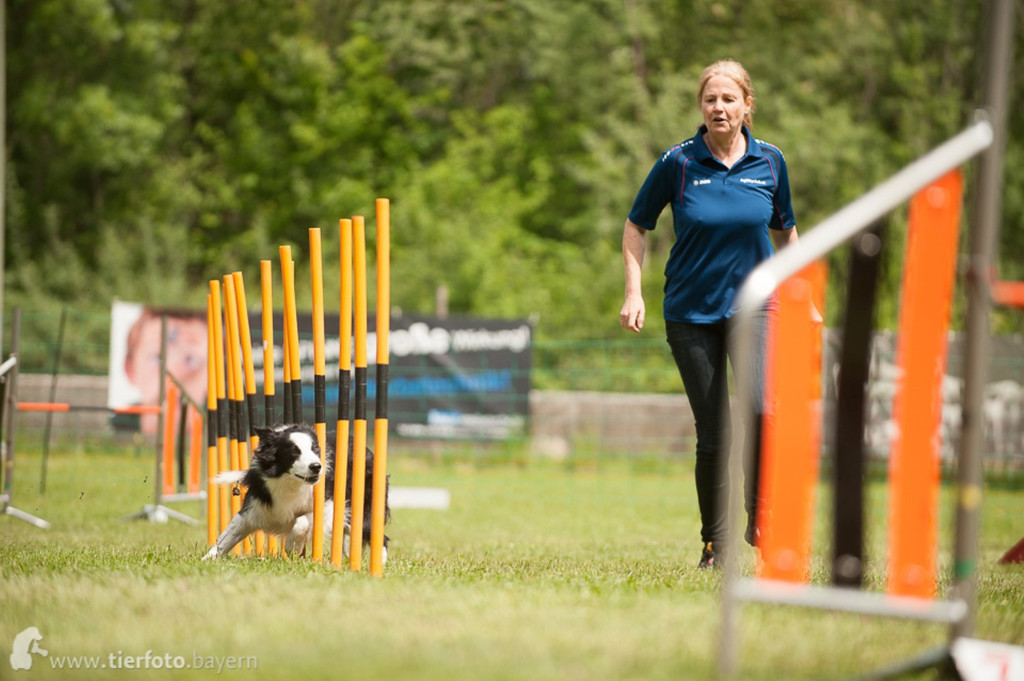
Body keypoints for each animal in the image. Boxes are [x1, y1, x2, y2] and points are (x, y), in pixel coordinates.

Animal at [203, 423, 389, 561]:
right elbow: (228, 535)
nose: (316, 466)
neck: (290, 482)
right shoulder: (255, 506)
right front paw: (208, 559)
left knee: (379, 536)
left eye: (315, 449)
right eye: (294, 451)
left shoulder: (328, 503)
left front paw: (293, 546)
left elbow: (302, 521)